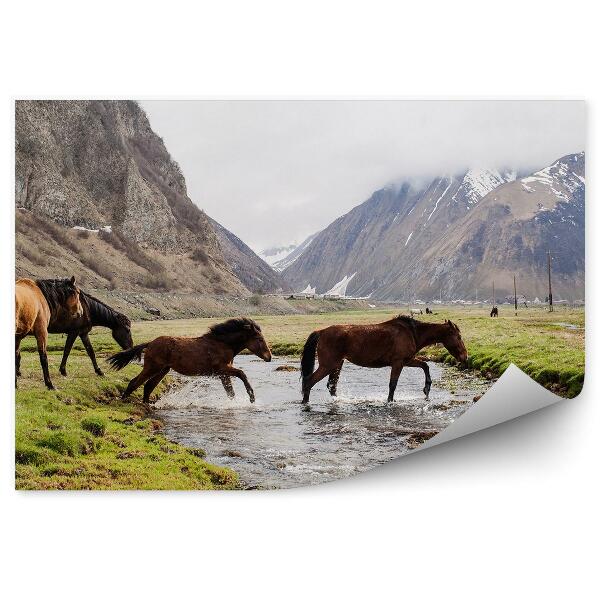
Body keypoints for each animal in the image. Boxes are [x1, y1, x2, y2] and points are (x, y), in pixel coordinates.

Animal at [108, 316, 272, 406]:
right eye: (259, 339)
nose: (269, 357)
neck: (222, 344)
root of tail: (150, 343)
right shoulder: (221, 369)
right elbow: (242, 374)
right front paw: (252, 398)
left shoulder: (223, 374)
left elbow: (230, 392)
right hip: (153, 367)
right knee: (134, 383)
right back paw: (124, 401)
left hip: (162, 370)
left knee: (148, 387)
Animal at [300, 314, 468, 404]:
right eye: (458, 337)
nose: (465, 357)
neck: (411, 332)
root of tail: (322, 331)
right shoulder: (398, 363)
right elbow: (393, 384)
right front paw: (390, 401)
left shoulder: (407, 360)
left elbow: (425, 365)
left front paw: (426, 389)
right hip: (327, 365)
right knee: (309, 382)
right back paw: (305, 403)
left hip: (337, 364)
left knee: (331, 386)